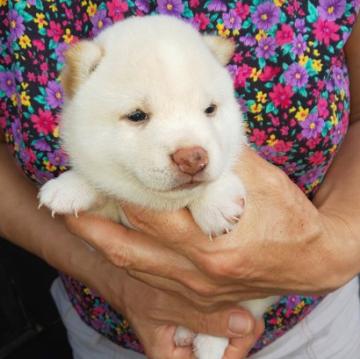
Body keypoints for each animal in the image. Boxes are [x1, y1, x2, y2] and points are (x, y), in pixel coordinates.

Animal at [38, 15, 276, 359]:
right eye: (137, 115)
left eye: (210, 110)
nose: (193, 158)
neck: (163, 203)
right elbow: (101, 185)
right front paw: (70, 186)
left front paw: (215, 202)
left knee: (235, 316)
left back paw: (207, 343)